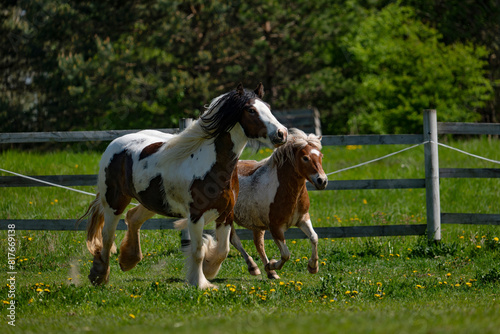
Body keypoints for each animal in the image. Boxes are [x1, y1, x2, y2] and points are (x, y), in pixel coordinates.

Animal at [78, 83, 290, 290]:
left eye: (268, 107)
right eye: (251, 110)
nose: (282, 134)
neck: (211, 165)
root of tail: (114, 144)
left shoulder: (226, 214)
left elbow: (223, 249)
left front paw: (209, 270)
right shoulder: (196, 215)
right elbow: (197, 251)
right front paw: (200, 283)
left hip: (150, 202)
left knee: (133, 217)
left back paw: (128, 260)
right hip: (114, 201)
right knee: (107, 236)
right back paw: (99, 276)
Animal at [229, 128, 326, 280]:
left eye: (321, 155)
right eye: (305, 158)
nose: (322, 181)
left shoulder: (303, 218)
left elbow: (314, 237)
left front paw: (313, 267)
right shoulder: (275, 228)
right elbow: (286, 254)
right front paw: (273, 264)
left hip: (256, 225)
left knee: (258, 244)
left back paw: (270, 273)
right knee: (234, 239)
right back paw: (254, 267)